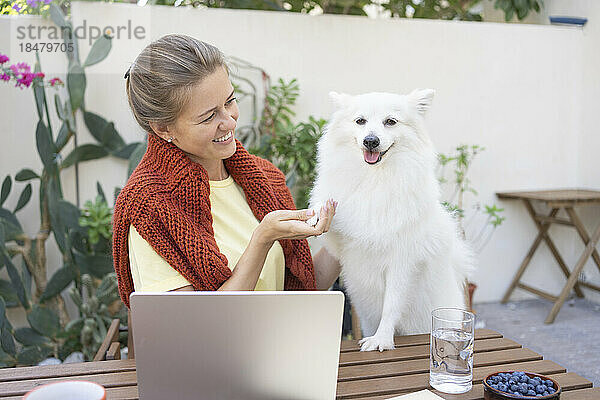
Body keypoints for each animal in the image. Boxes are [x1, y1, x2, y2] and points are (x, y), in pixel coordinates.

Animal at [310, 90, 474, 350]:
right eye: (360, 121)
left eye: (390, 122)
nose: (371, 141)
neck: (376, 178)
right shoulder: (340, 243)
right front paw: (318, 211)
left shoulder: (402, 262)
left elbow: (392, 304)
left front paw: (382, 339)